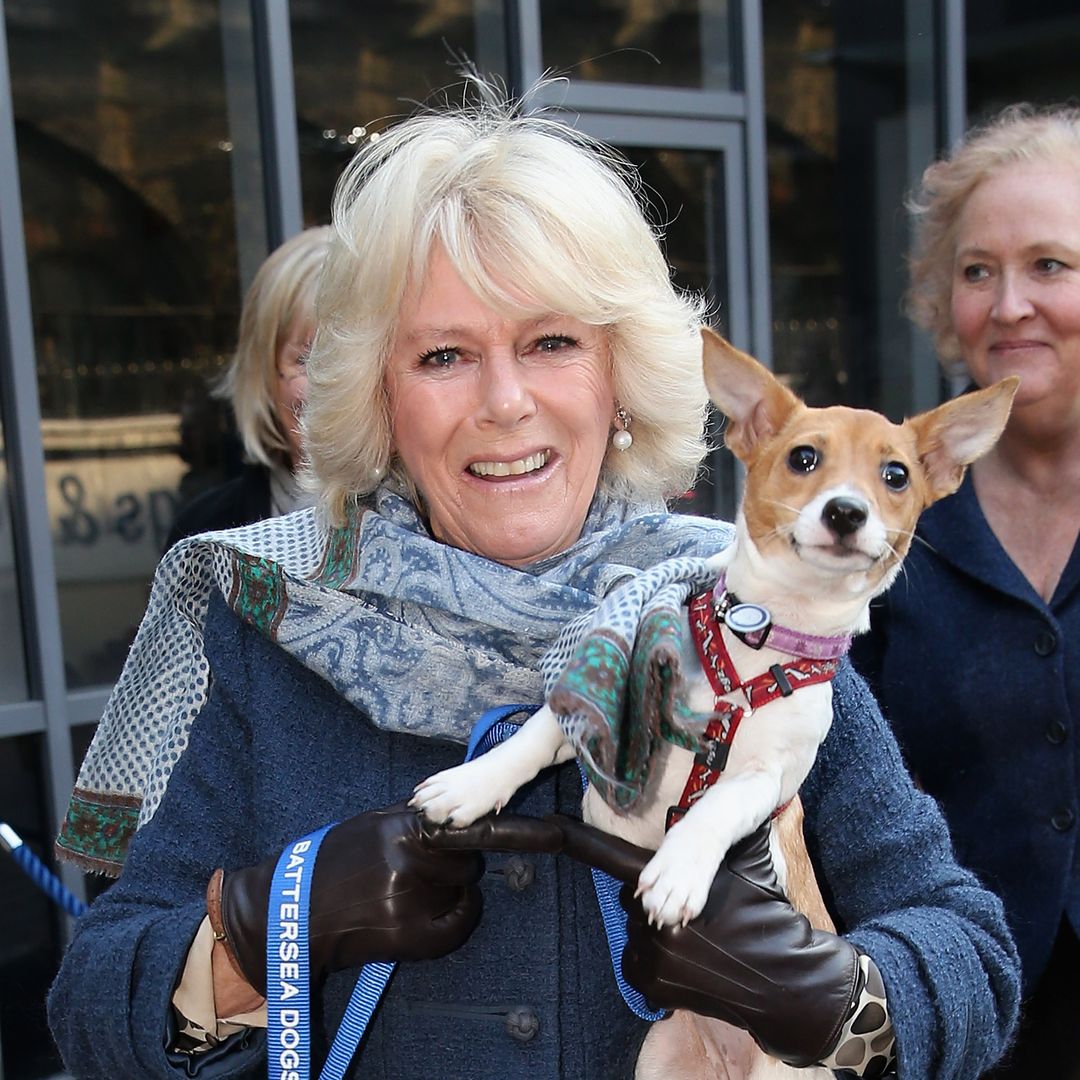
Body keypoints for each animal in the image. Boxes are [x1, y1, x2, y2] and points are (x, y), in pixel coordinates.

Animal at [408, 330, 1015, 1080]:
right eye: (803, 457)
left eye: (896, 475)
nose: (847, 511)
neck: (754, 651)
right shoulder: (602, 701)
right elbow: (530, 739)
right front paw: (468, 786)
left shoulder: (770, 781)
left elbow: (718, 804)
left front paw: (678, 868)